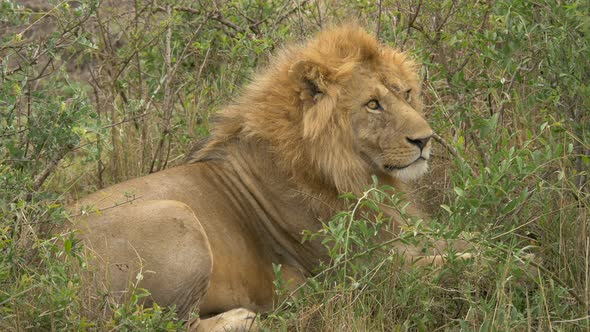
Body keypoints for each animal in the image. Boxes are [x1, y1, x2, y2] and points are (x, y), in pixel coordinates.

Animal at [70, 26, 448, 332]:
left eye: (407, 94)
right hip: (176, 216)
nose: (425, 140)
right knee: (166, 323)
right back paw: (241, 318)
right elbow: (452, 262)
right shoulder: (370, 266)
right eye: (372, 104)